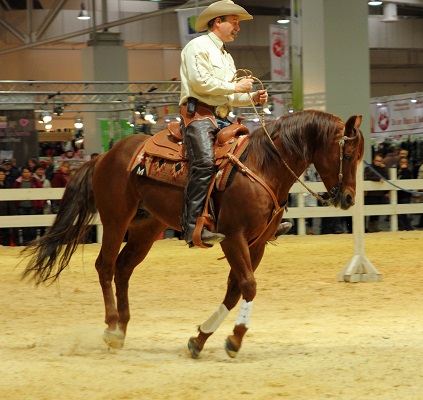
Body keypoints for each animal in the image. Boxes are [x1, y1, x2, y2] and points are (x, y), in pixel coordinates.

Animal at [23, 109, 366, 360]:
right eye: (348, 156)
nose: (348, 199)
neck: (263, 165)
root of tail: (104, 156)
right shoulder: (233, 237)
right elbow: (248, 286)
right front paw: (235, 339)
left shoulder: (256, 244)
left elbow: (235, 290)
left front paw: (199, 339)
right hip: (116, 219)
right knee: (105, 266)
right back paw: (110, 328)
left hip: (146, 229)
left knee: (122, 270)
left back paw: (121, 329)